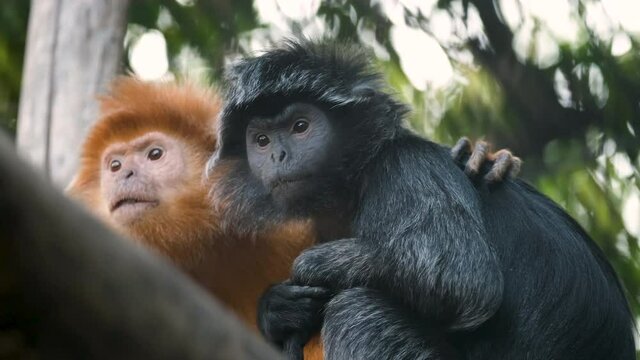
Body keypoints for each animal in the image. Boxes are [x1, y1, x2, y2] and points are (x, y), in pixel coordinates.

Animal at [211, 40, 636, 358]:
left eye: (300, 126)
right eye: (261, 140)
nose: (278, 155)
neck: (360, 173)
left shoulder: (408, 168)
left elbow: (462, 280)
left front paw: (309, 268)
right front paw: (278, 307)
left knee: (358, 312)